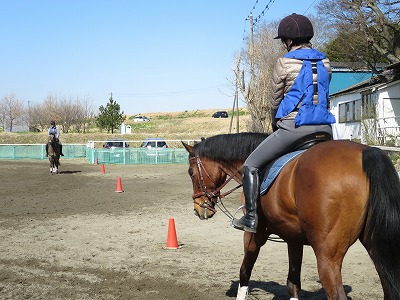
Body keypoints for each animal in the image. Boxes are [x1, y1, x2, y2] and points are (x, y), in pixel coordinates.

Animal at [183, 134, 400, 300]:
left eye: (191, 172)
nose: (198, 209)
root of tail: (366, 152)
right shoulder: (293, 238)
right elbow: (293, 283)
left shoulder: (255, 234)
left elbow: (245, 272)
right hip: (377, 249)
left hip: (327, 256)